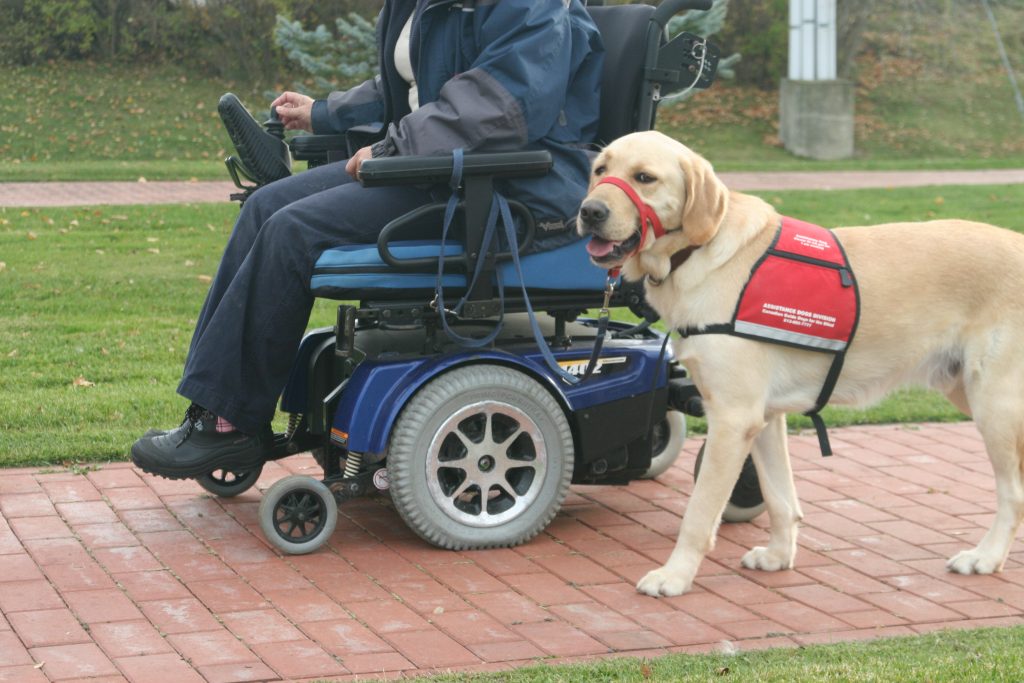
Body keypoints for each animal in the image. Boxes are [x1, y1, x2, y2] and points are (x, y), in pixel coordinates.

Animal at [581, 129, 1024, 598]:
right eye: (600, 170)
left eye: (644, 177)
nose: (589, 211)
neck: (698, 252)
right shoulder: (763, 417)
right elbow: (780, 498)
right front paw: (779, 556)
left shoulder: (732, 418)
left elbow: (699, 514)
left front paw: (675, 575)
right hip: (968, 392)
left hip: (994, 403)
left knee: (1013, 493)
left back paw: (986, 557)